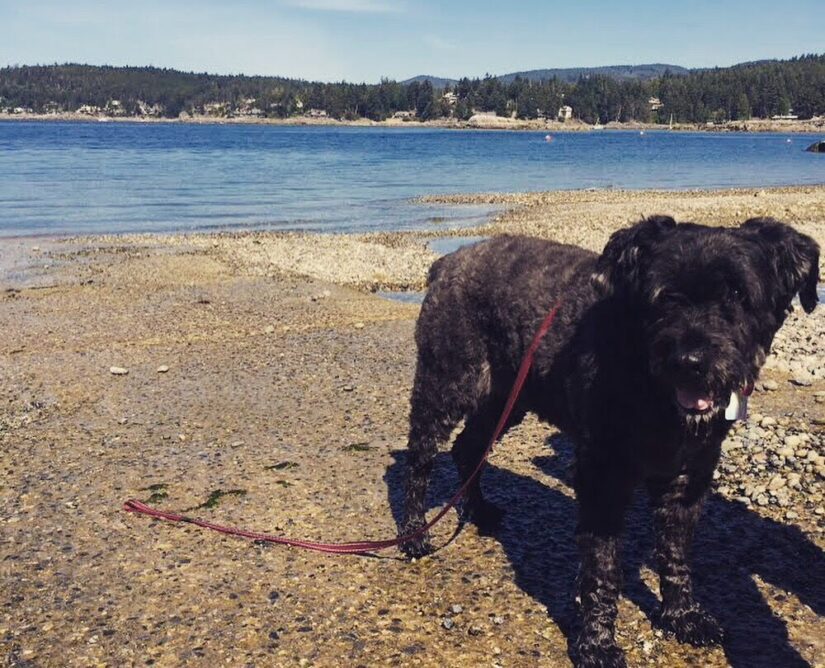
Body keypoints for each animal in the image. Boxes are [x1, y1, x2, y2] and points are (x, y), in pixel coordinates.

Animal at [400, 217, 816, 664]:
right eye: (664, 296)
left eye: (738, 294)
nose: (691, 362)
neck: (651, 388)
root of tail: (448, 262)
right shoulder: (602, 478)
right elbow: (602, 569)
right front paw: (596, 642)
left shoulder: (688, 477)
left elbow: (676, 554)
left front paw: (682, 615)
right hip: (446, 383)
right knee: (420, 456)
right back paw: (415, 532)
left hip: (506, 398)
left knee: (469, 448)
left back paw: (479, 510)